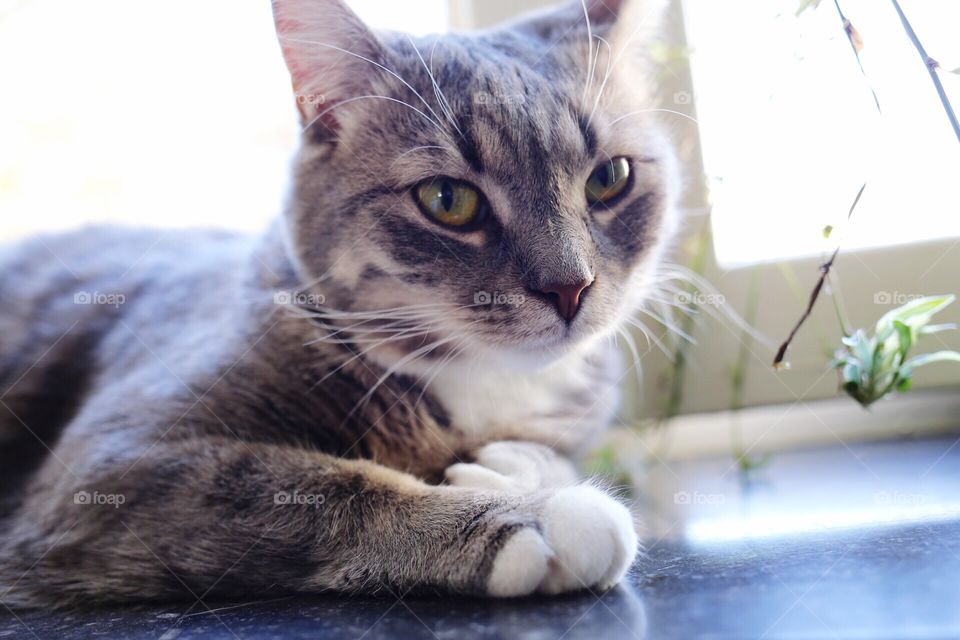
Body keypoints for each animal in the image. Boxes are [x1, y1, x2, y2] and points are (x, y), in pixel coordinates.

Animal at [0, 0, 680, 608]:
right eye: (447, 199)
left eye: (609, 178)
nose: (570, 287)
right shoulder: (111, 466)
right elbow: (331, 487)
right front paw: (542, 517)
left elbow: (551, 449)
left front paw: (507, 463)